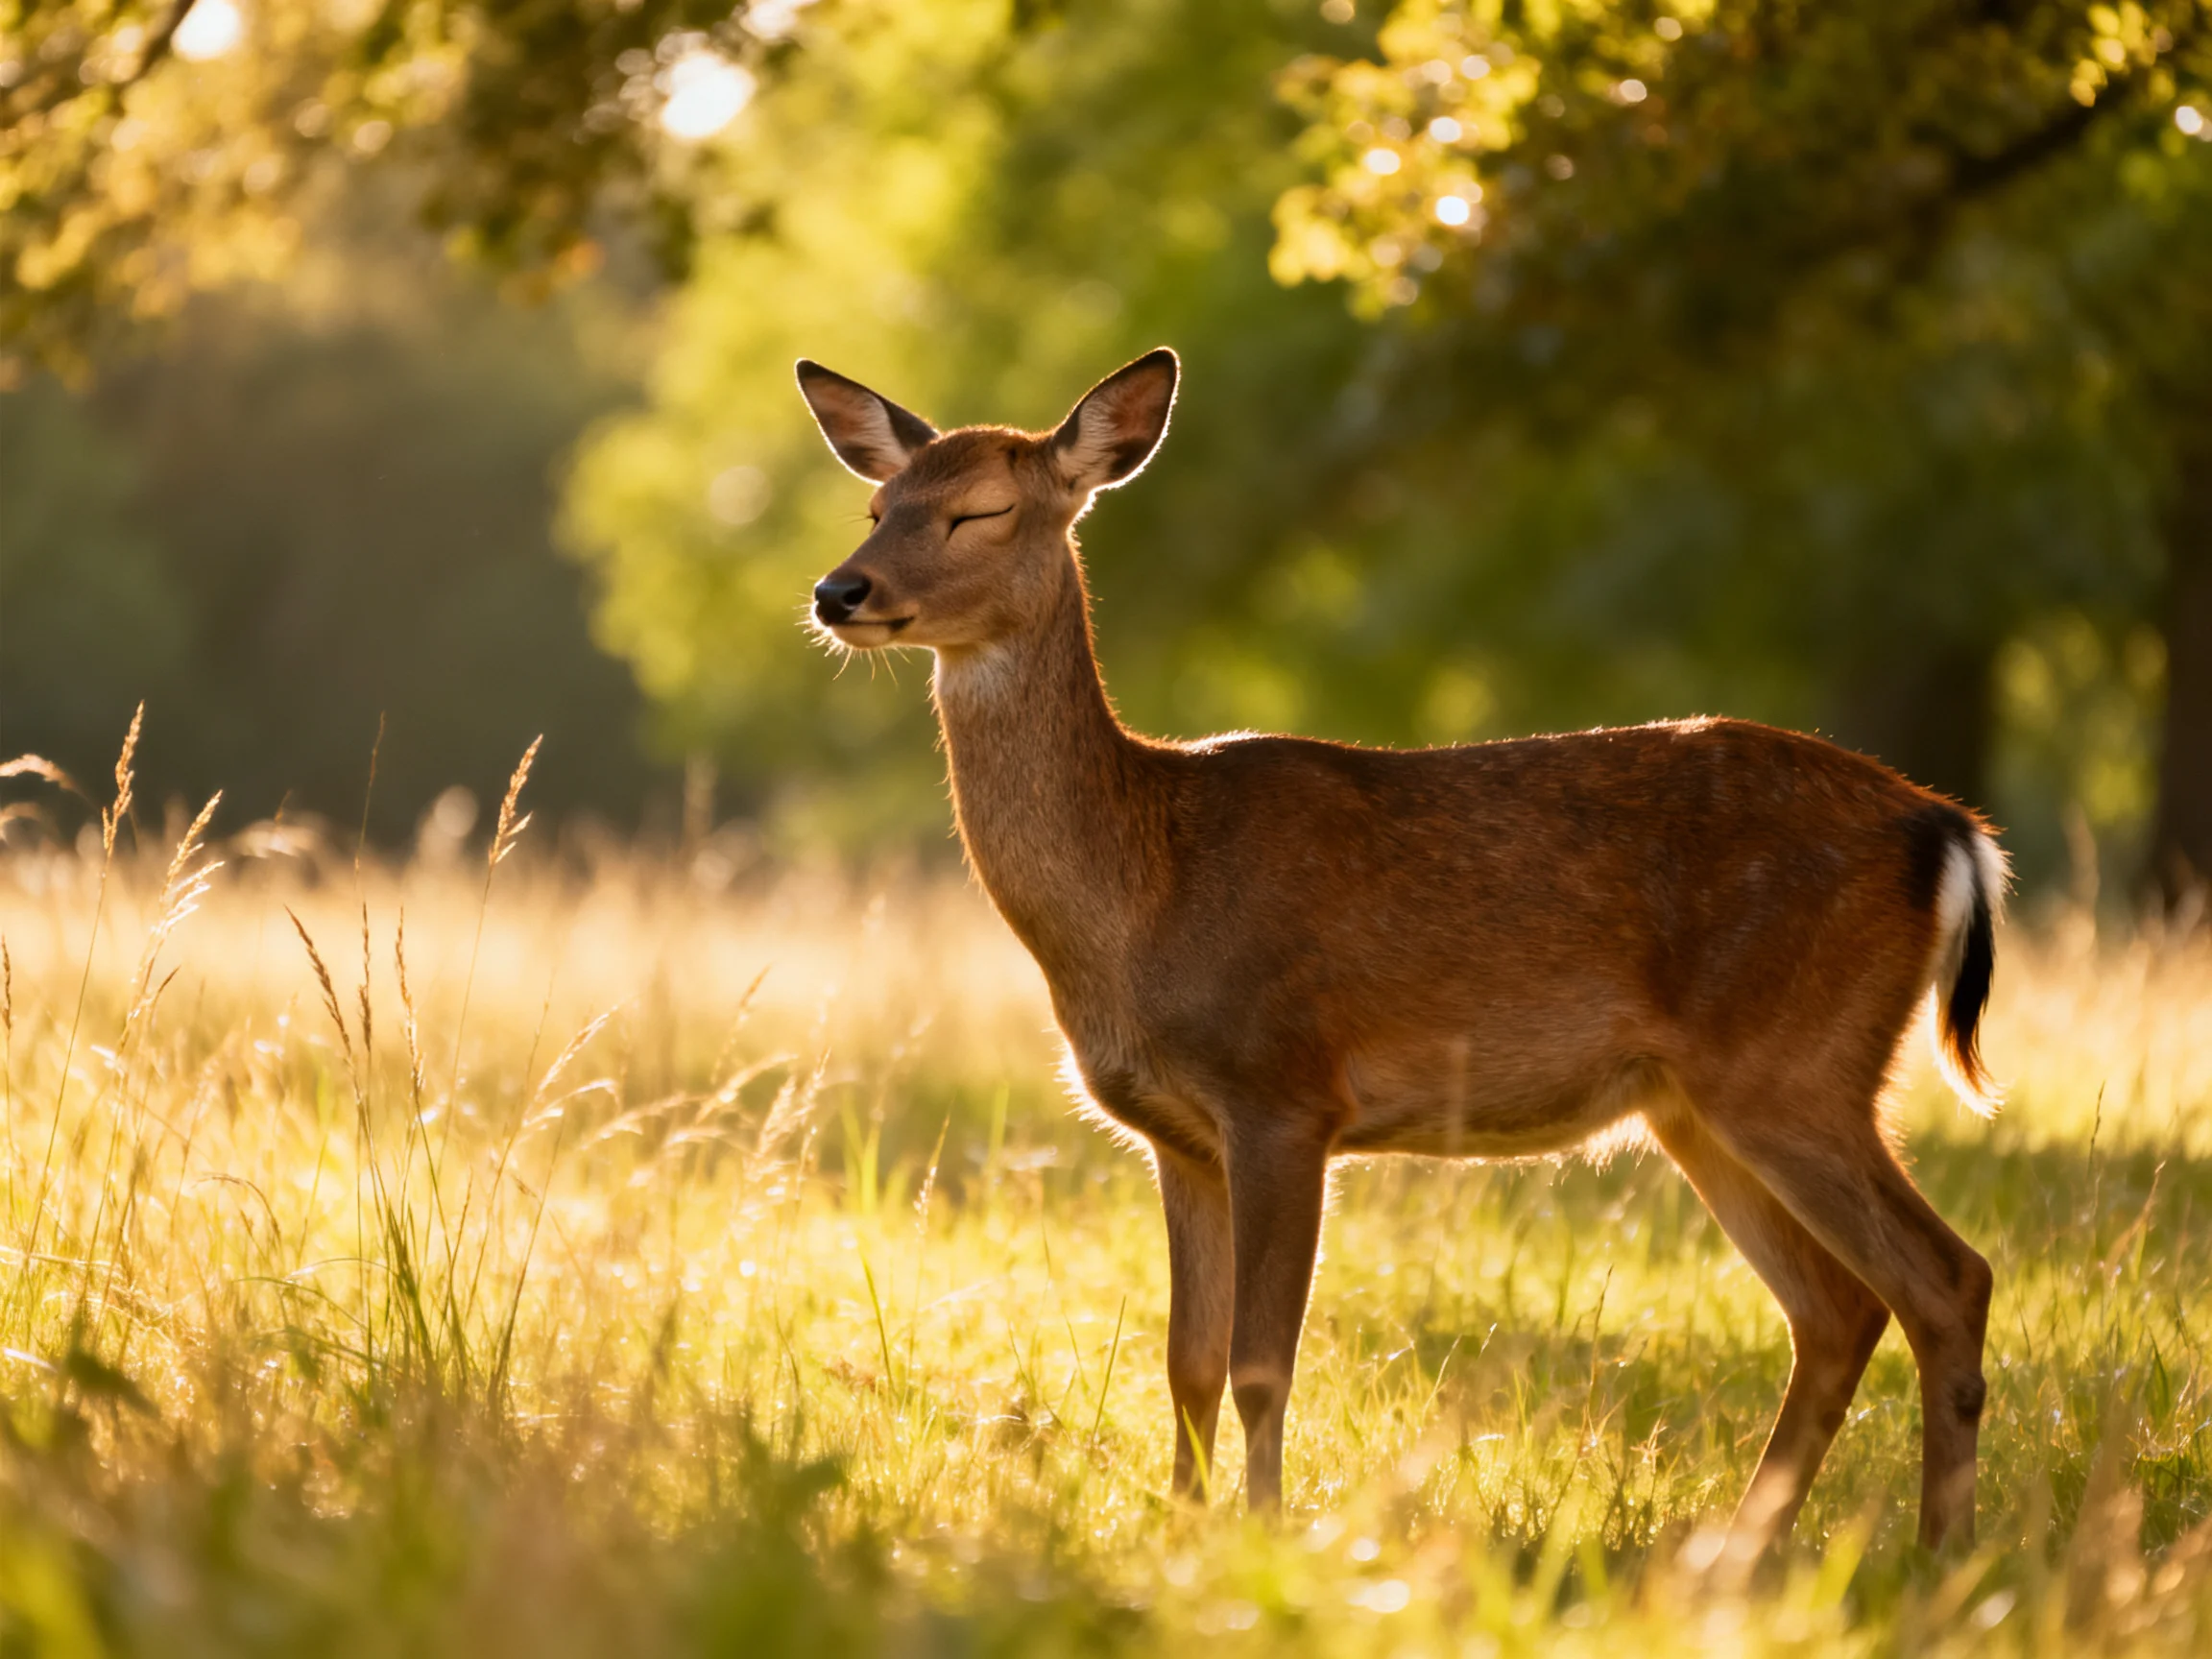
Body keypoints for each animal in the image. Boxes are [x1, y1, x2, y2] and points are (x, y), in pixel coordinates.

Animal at [796, 347, 2006, 1555]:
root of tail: (1949, 831)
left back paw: (1936, 1554)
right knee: (1838, 1309)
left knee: (1947, 1279)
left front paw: (1263, 1538)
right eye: (877, 505)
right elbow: (1186, 1364)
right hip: (1701, 1104)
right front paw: (1183, 1534)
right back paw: (1737, 1553)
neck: (1148, 888)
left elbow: (1260, 1366)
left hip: (1796, 1065)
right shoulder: (1176, 1134)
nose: (838, 591)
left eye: (979, 511)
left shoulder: (1284, 1093)